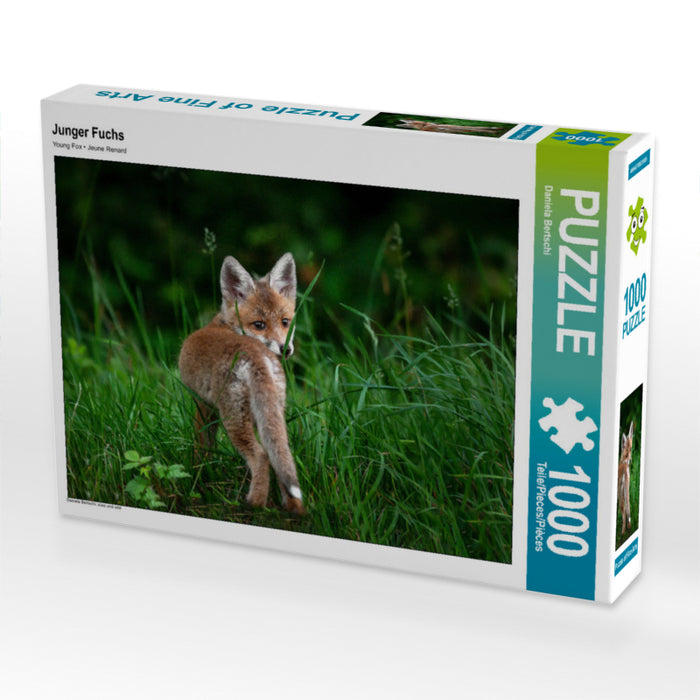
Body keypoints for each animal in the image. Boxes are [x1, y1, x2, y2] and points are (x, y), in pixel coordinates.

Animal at [178, 252, 304, 515]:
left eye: (285, 322)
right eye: (259, 324)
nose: (285, 349)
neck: (225, 324)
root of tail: (256, 356)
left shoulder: (203, 405)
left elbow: (201, 447)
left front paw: (197, 477)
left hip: (234, 419)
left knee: (261, 456)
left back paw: (253, 504)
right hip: (270, 414)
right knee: (280, 456)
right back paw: (293, 508)